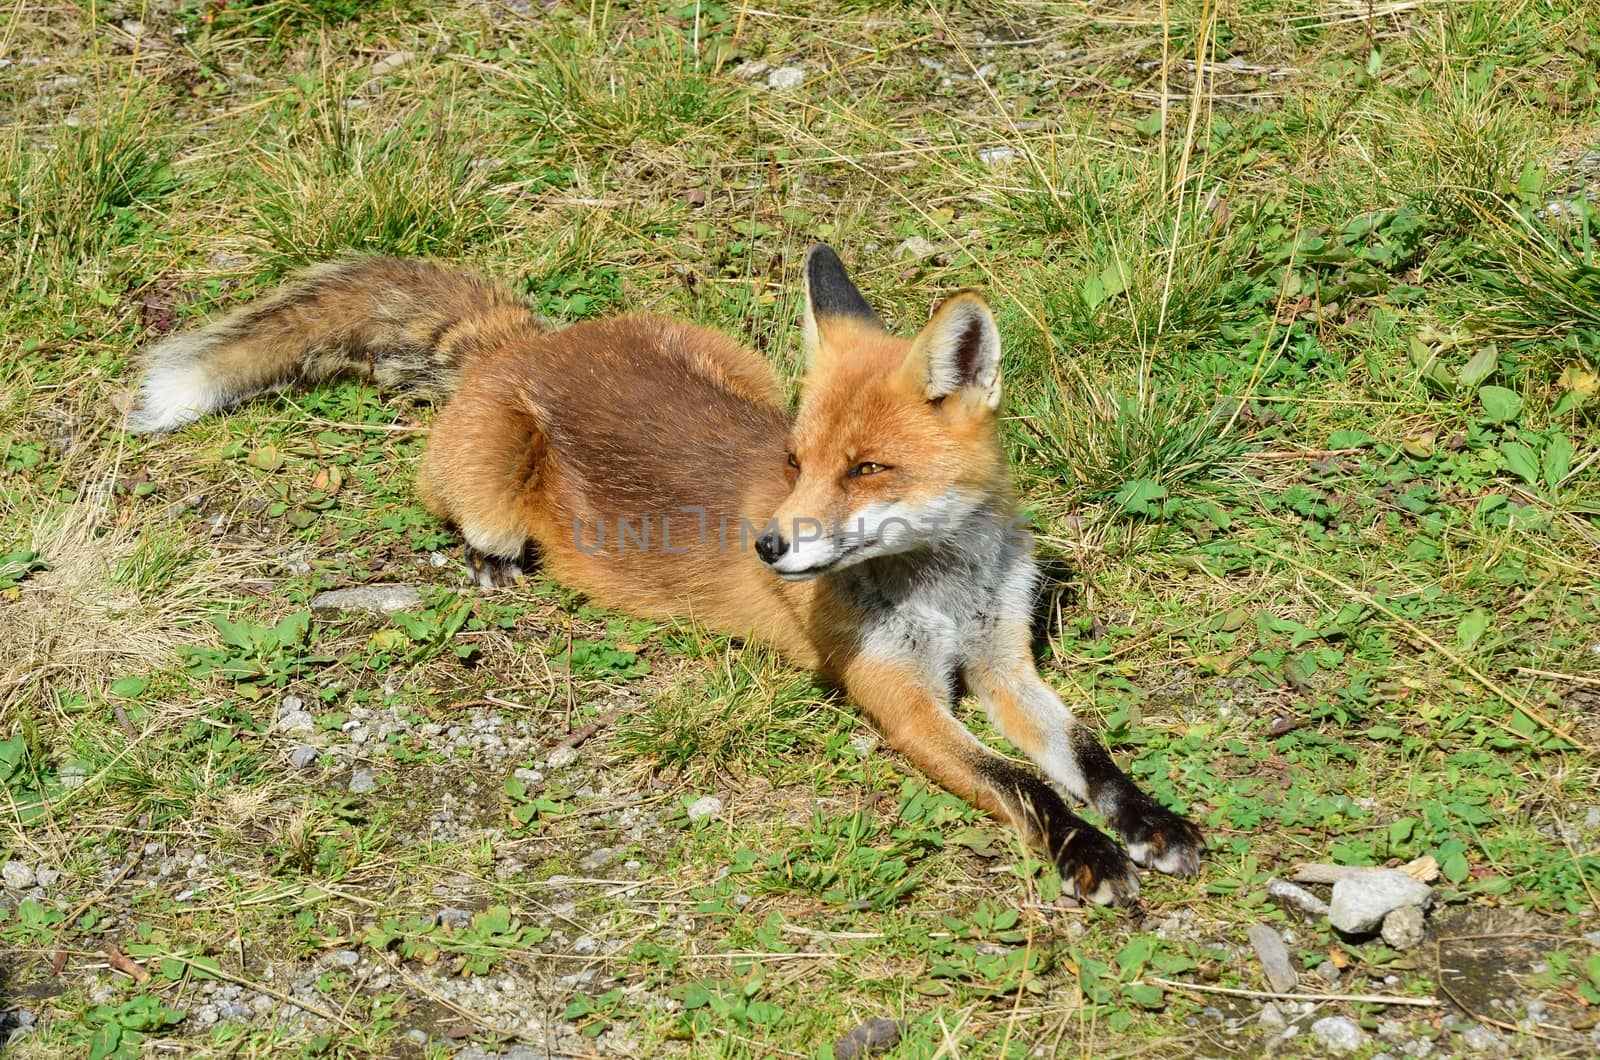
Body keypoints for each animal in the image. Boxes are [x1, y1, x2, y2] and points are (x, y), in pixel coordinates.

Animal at [131, 246, 1203, 903]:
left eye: (866, 469)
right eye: (795, 460)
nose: (768, 548)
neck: (942, 586)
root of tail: (528, 341)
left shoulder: (1003, 662)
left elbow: (1088, 756)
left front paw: (1149, 823)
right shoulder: (897, 695)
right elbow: (1024, 785)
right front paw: (1087, 853)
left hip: (737, 364)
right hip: (490, 492)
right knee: (473, 523)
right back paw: (486, 566)